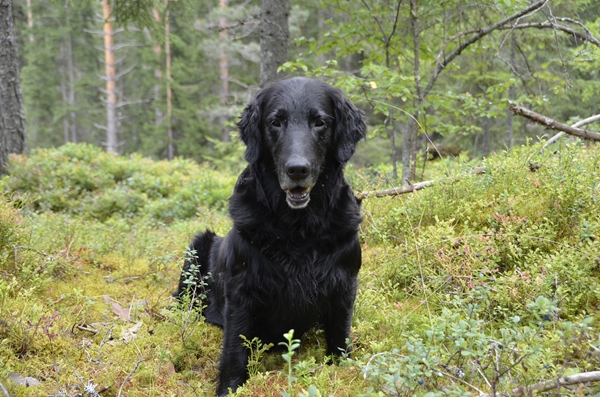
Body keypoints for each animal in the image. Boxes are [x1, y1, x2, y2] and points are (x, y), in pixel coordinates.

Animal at [173, 76, 366, 392]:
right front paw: (229, 388)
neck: (299, 227)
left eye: (320, 122)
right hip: (197, 247)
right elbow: (235, 346)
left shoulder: (344, 281)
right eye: (276, 122)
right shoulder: (241, 290)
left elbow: (340, 334)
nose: (297, 169)